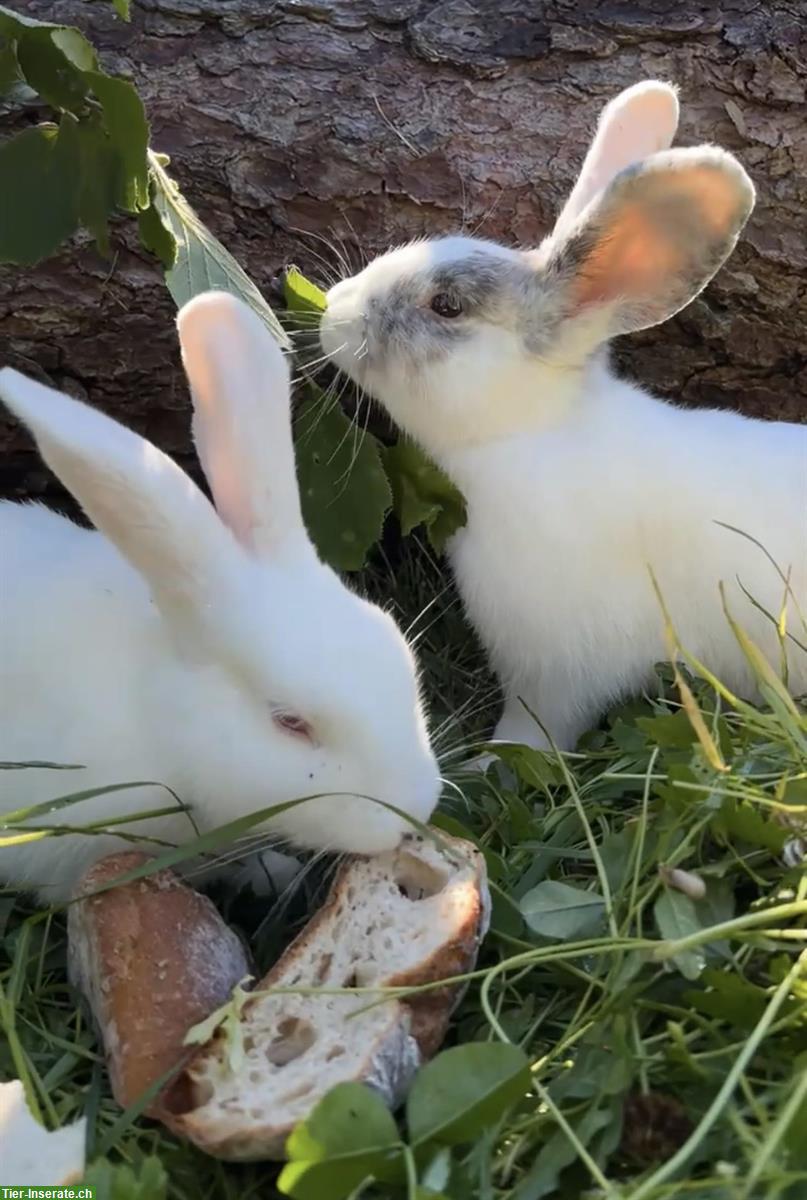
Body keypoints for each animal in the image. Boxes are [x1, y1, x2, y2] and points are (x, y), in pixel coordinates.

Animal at [321, 82, 806, 748]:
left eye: (447, 306)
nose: (331, 312)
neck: (530, 434)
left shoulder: (558, 672)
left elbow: (534, 731)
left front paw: (490, 761)